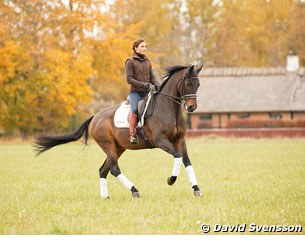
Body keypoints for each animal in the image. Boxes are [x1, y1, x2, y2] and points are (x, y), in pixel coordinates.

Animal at [34, 63, 202, 199]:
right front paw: (171, 180)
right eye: (188, 83)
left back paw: (106, 197)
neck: (167, 108)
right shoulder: (161, 141)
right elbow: (177, 156)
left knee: (103, 170)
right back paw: (134, 191)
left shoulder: (179, 140)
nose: (192, 107)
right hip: (108, 145)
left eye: (198, 84)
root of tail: (95, 117)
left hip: (118, 148)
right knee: (114, 169)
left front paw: (196, 189)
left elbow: (186, 161)